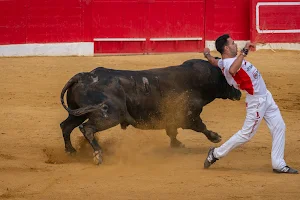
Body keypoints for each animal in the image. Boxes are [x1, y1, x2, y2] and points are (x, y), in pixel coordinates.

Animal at [59, 57, 240, 164]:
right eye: (230, 76)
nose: (239, 93)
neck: (200, 79)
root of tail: (84, 76)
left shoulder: (172, 118)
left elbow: (172, 131)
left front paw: (176, 144)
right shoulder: (188, 116)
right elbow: (200, 126)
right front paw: (215, 137)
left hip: (78, 112)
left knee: (66, 126)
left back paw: (71, 151)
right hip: (109, 115)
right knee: (87, 128)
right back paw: (98, 154)